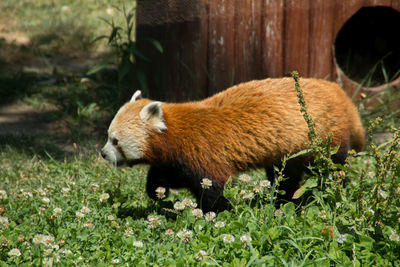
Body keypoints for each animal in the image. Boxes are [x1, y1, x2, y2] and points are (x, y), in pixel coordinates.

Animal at [101, 77, 364, 211]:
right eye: (107, 136)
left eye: (115, 141)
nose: (103, 153)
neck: (175, 132)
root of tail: (337, 91)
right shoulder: (178, 159)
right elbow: (167, 175)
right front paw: (158, 192)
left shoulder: (204, 154)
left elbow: (214, 189)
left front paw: (217, 212)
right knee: (284, 175)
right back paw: (282, 199)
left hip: (322, 139)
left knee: (331, 169)